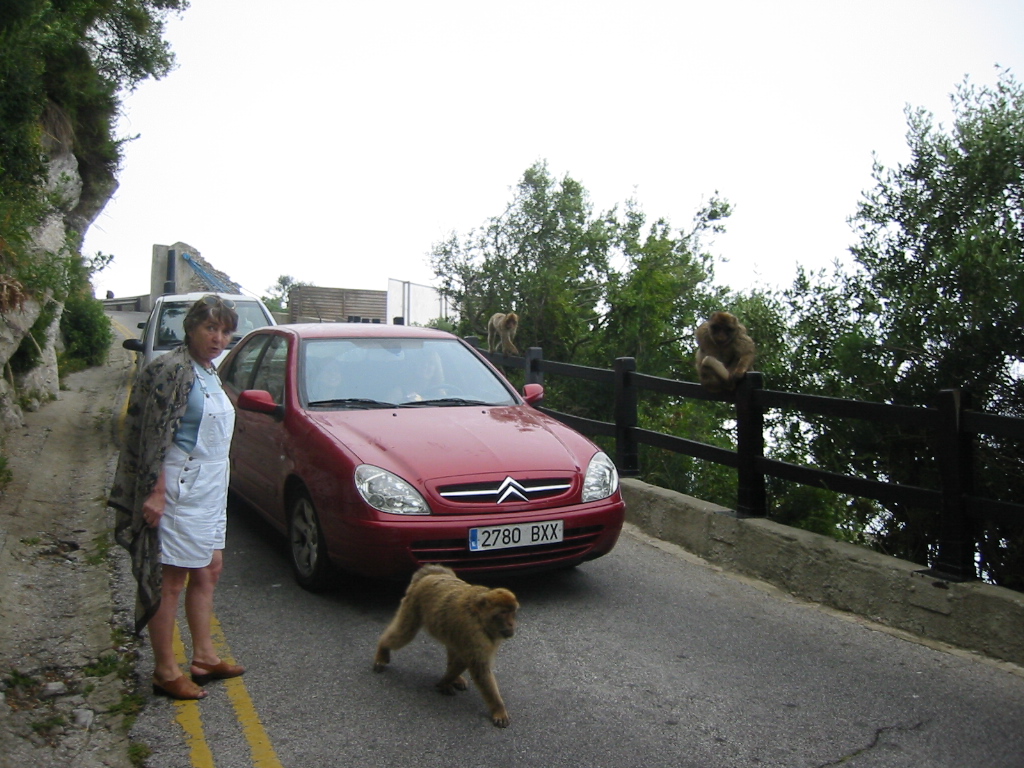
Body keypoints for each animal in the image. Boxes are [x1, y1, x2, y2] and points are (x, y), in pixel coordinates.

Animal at [372, 565, 520, 729]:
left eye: (513, 612)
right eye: (504, 613)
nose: (512, 624)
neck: (480, 618)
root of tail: (432, 575)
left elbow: (465, 660)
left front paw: (447, 680)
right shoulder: (474, 633)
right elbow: (479, 668)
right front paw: (498, 709)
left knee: (453, 646)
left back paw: (454, 678)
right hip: (413, 604)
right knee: (405, 633)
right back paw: (382, 650)